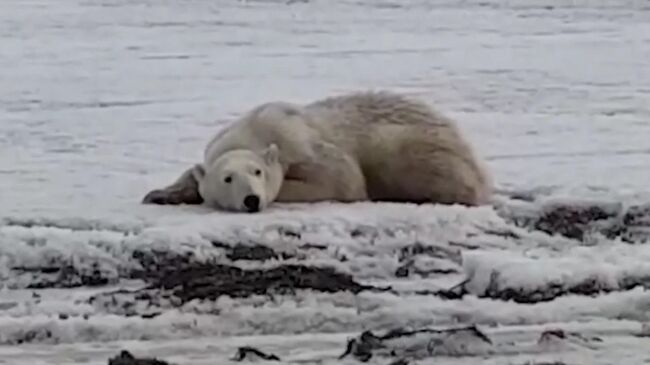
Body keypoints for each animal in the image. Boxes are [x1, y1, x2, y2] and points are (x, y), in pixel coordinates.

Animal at [142, 89, 492, 212]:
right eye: (227, 178)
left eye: (258, 172)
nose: (251, 199)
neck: (254, 131)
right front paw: (160, 194)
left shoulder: (301, 145)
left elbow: (342, 179)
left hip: (412, 146)